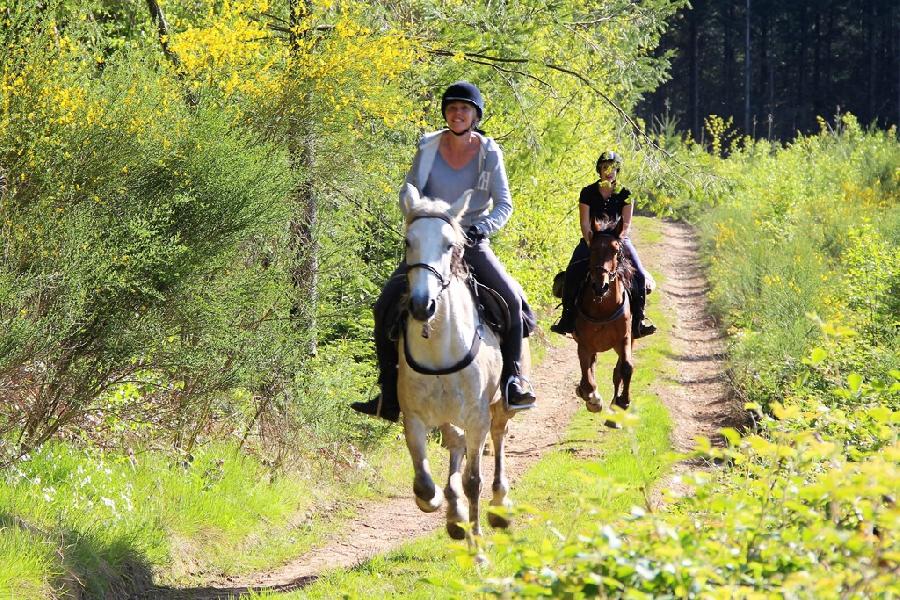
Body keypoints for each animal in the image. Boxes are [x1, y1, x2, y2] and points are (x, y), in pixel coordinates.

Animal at [398, 183, 516, 540]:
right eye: (408, 241)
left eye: (450, 244)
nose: (422, 305)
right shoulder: (414, 418)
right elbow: (423, 484)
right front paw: (442, 503)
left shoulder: (477, 417)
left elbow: (473, 480)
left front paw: (477, 544)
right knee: (455, 442)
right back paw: (454, 511)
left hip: (500, 403)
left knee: (498, 434)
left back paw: (499, 505)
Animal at [572, 218, 636, 414]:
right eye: (592, 249)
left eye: (615, 250)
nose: (601, 286)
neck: (603, 308)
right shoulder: (584, 344)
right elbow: (587, 378)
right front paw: (593, 399)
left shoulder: (625, 338)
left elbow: (626, 368)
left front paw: (624, 401)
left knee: (618, 371)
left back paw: (615, 406)